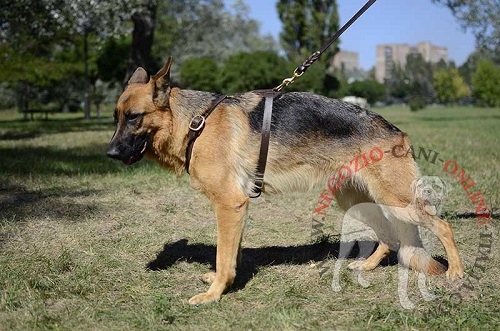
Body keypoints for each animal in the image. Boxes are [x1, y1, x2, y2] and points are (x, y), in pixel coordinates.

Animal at [107, 58, 462, 304]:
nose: (110, 153)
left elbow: (223, 254)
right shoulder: (237, 208)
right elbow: (232, 252)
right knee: (388, 237)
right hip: (357, 201)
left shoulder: (229, 205)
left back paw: (456, 272)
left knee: (443, 226)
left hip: (397, 202)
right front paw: (226, 281)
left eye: (134, 117)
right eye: (116, 117)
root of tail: (397, 131)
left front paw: (215, 294)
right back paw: (367, 267)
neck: (196, 123)